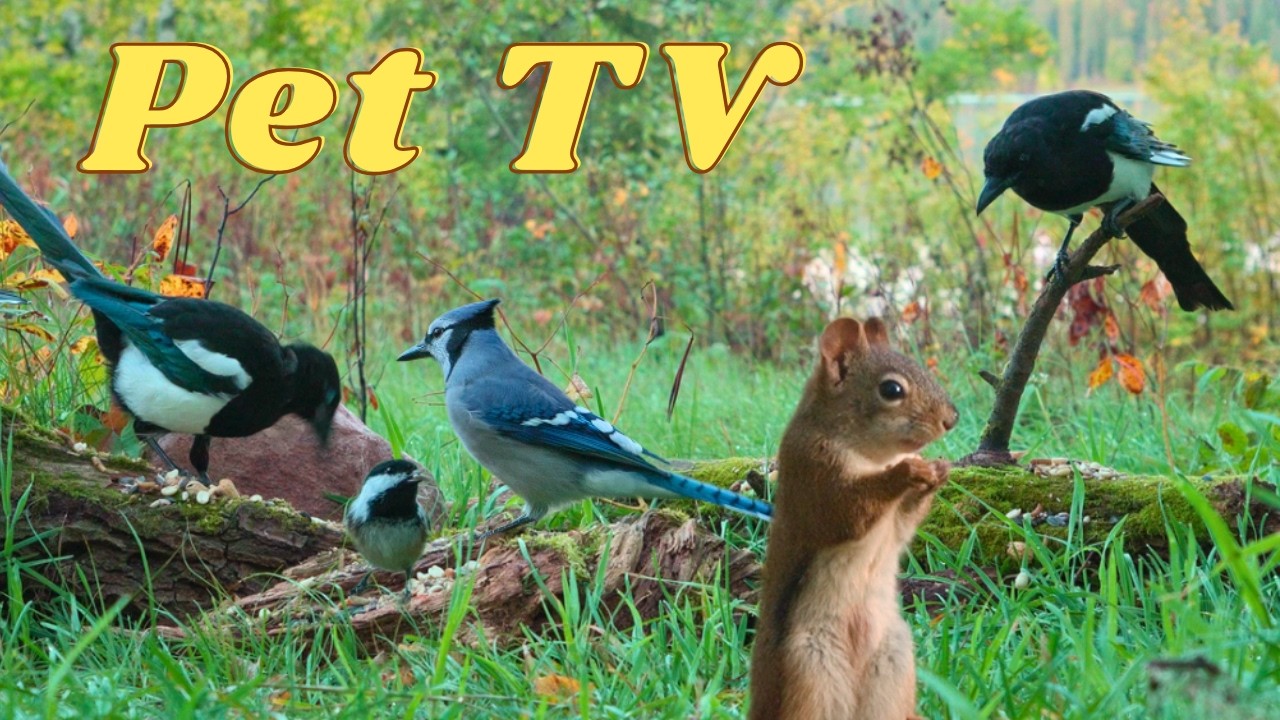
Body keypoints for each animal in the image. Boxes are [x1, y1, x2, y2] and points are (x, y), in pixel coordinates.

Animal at [748, 316, 958, 720]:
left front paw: (937, 471)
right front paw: (907, 471)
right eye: (891, 389)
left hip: (892, 666)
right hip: (811, 671)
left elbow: (903, 526)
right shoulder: (814, 475)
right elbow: (846, 512)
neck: (872, 456)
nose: (951, 420)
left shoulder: (895, 522)